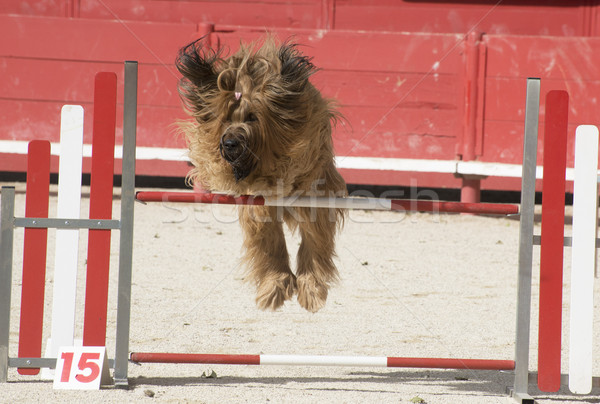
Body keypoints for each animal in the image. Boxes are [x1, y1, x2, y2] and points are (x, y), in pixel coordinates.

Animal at [176, 36, 344, 312]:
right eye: (225, 119)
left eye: (253, 117)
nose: (230, 144)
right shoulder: (255, 200)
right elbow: (269, 239)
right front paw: (275, 285)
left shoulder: (315, 192)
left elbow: (314, 237)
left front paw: (311, 288)